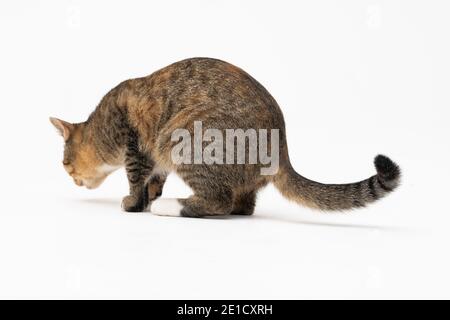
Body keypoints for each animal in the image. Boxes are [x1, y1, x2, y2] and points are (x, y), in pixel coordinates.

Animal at [50, 57, 400, 218]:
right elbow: (154, 181)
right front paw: (148, 197)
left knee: (219, 202)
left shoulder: (136, 146)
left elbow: (137, 180)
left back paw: (170, 206)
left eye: (64, 163)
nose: (71, 179)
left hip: (185, 138)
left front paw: (135, 203)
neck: (100, 125)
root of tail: (281, 146)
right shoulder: (156, 160)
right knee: (242, 206)